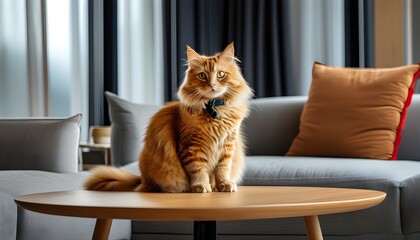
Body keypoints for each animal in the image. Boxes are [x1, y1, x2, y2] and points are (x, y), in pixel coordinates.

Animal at [83, 43, 251, 193]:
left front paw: (224, 185)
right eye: (202, 76)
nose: (212, 85)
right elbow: (198, 170)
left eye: (221, 74)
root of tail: (142, 180)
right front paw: (201, 186)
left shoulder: (228, 146)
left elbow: (222, 170)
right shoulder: (191, 147)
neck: (215, 110)